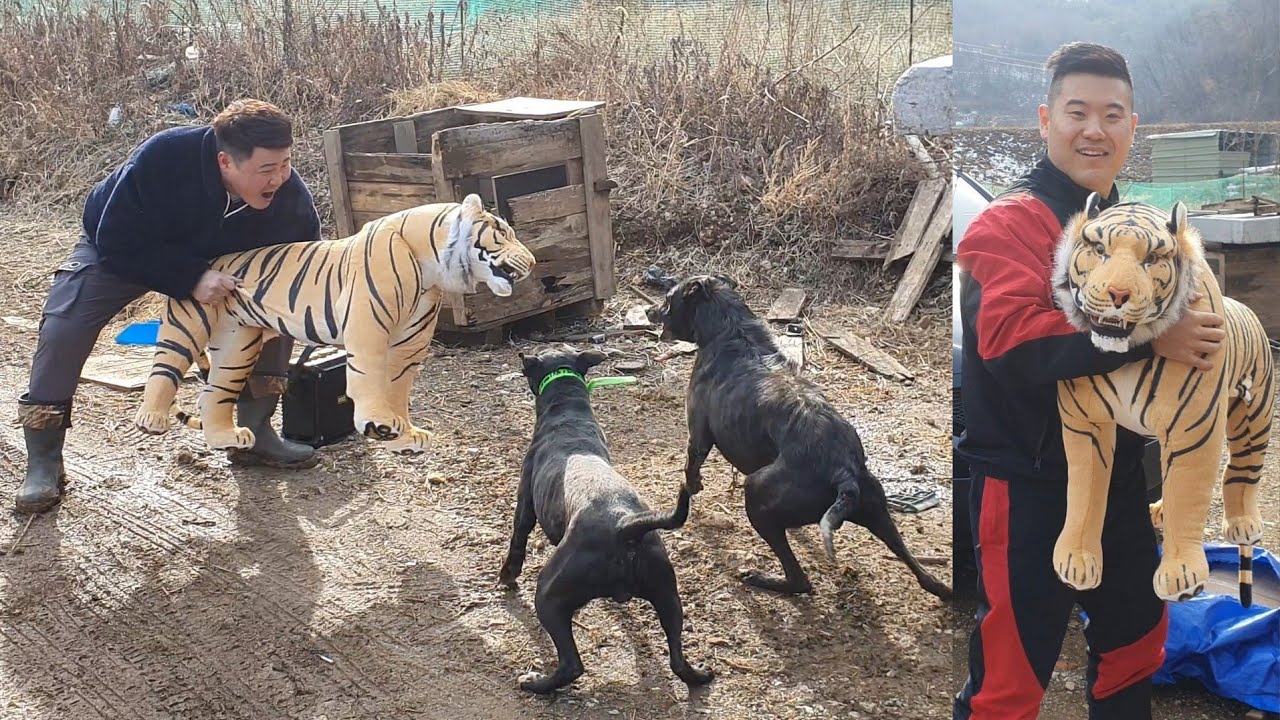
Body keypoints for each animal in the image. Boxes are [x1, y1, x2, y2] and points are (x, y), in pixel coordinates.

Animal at [134, 193, 536, 456]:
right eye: (503, 233)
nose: (532, 261)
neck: (431, 269)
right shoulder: (368, 325)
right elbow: (369, 378)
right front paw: (379, 423)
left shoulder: (409, 342)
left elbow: (398, 388)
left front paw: (403, 436)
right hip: (188, 325)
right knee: (164, 368)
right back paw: (150, 419)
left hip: (238, 345)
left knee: (212, 393)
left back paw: (226, 438)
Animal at [1049, 192, 1273, 607]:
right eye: (1100, 250)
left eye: (1151, 259)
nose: (1118, 295)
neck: (1129, 350)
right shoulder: (1086, 422)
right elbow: (1084, 490)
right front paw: (1076, 559)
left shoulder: (1192, 428)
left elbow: (1188, 490)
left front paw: (1182, 573)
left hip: (1253, 417)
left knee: (1240, 472)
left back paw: (1243, 523)